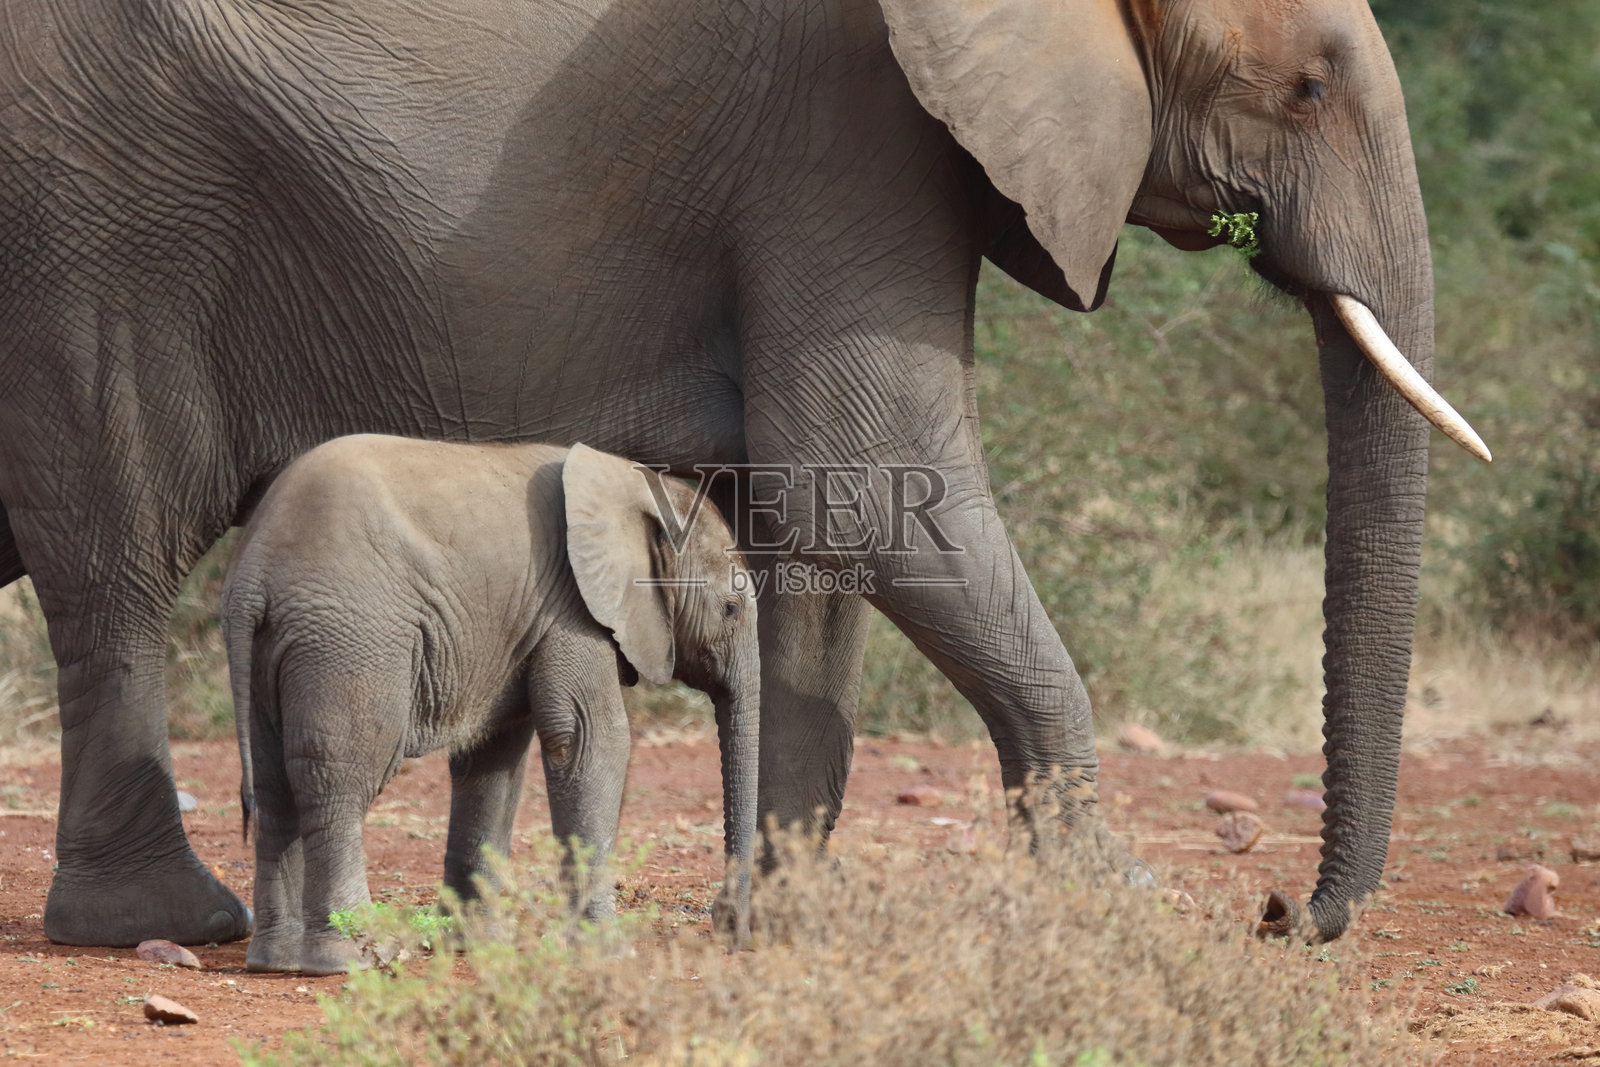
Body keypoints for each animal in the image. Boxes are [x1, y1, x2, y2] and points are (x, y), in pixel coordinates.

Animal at [222, 437, 758, 973]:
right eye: (730, 610)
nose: (728, 926)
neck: (643, 488)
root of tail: (252, 575)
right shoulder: (570, 609)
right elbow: (590, 741)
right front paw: (606, 950)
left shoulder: (518, 627)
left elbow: (493, 760)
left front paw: (474, 945)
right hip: (350, 639)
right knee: (341, 779)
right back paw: (353, 957)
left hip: (277, 651)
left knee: (275, 785)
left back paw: (275, 961)